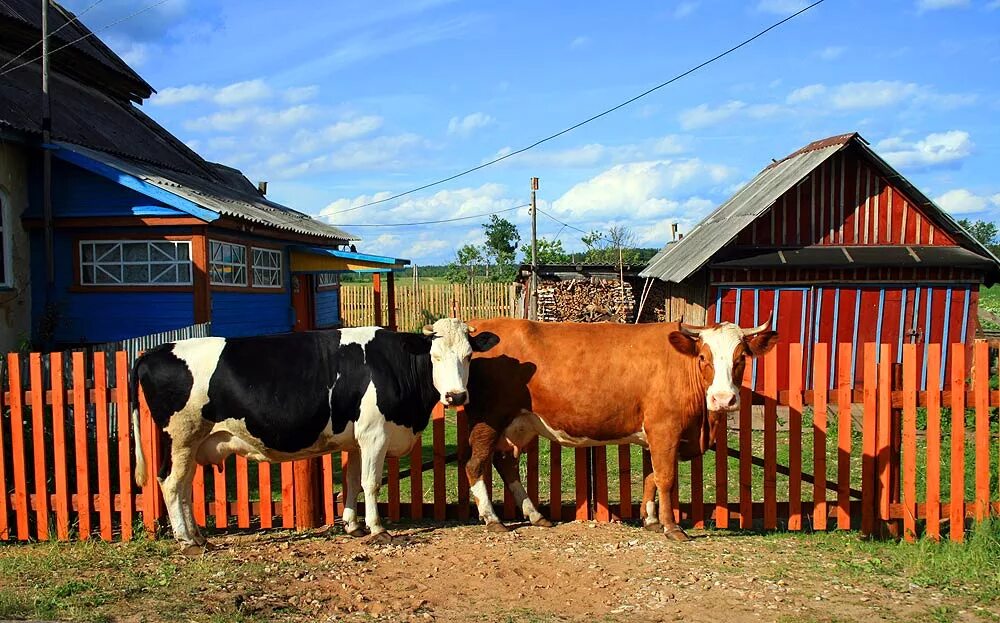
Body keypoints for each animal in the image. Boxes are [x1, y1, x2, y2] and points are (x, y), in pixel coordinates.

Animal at [130, 320, 500, 548]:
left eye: (469, 356)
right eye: (434, 356)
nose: (456, 396)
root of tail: (155, 351)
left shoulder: (357, 440)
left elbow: (352, 481)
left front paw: (353, 525)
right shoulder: (375, 435)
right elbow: (370, 483)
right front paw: (378, 529)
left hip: (193, 442)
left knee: (184, 486)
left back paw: (198, 536)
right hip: (181, 436)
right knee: (170, 482)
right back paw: (186, 541)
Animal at [464, 316, 776, 540]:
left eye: (742, 358)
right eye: (703, 358)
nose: (723, 399)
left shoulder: (654, 435)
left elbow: (651, 478)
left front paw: (651, 520)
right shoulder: (665, 429)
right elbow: (666, 479)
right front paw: (672, 527)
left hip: (518, 424)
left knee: (505, 463)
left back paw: (536, 516)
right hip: (488, 419)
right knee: (475, 465)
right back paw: (493, 519)